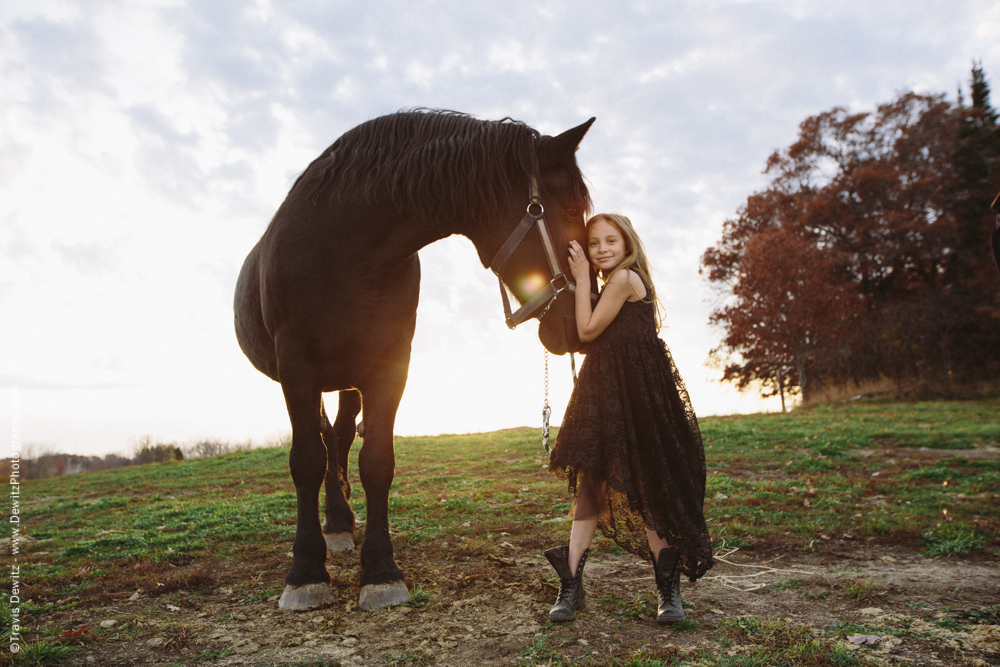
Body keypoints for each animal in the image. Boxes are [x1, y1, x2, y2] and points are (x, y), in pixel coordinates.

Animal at [234, 109, 592, 612]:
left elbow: (376, 462)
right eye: (570, 211)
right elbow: (306, 460)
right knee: (325, 442)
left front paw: (380, 571)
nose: (580, 322)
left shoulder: (389, 366)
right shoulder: (296, 366)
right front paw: (305, 573)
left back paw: (340, 522)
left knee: (339, 438)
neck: (344, 247)